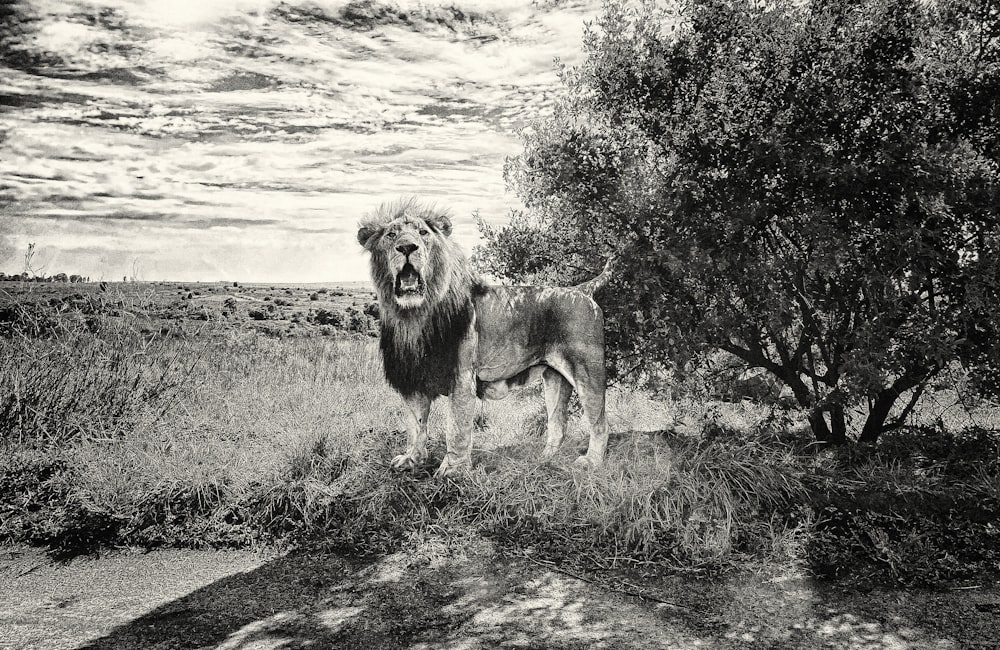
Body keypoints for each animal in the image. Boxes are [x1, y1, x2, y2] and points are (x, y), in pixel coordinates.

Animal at [358, 197, 608, 476]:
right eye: (391, 235)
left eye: (423, 233)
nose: (406, 247)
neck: (414, 316)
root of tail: (582, 290)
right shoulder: (413, 377)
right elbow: (416, 424)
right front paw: (412, 459)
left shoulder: (462, 376)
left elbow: (456, 427)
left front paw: (452, 470)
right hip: (555, 377)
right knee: (557, 422)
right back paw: (544, 459)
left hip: (587, 371)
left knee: (600, 421)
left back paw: (592, 462)